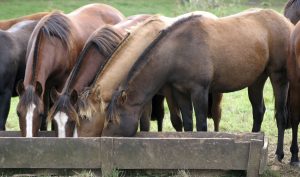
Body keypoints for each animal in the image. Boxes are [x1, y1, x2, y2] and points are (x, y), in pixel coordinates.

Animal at [15, 3, 123, 138]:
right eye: (18, 113)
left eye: (39, 113)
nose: (28, 137)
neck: (53, 43)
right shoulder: (46, 87)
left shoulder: (61, 84)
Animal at [103, 9, 292, 163]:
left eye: (111, 119)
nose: (103, 138)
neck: (177, 51)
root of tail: (286, 22)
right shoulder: (180, 92)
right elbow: (188, 124)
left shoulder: (199, 91)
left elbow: (201, 125)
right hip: (257, 79)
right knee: (258, 111)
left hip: (278, 76)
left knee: (281, 115)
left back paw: (280, 154)